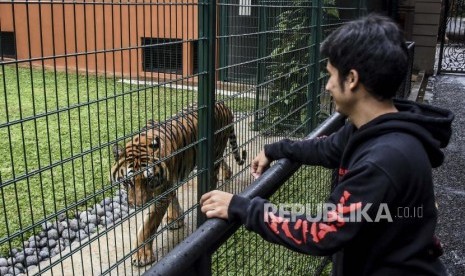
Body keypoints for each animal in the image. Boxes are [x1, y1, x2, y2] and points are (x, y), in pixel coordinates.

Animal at [109, 101, 246, 266]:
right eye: (127, 182)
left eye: (148, 180)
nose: (138, 206)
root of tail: (223, 103)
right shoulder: (168, 184)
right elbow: (173, 197)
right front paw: (175, 218)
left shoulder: (162, 192)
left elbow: (149, 224)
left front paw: (142, 255)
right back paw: (227, 174)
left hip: (215, 152)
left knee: (213, 176)